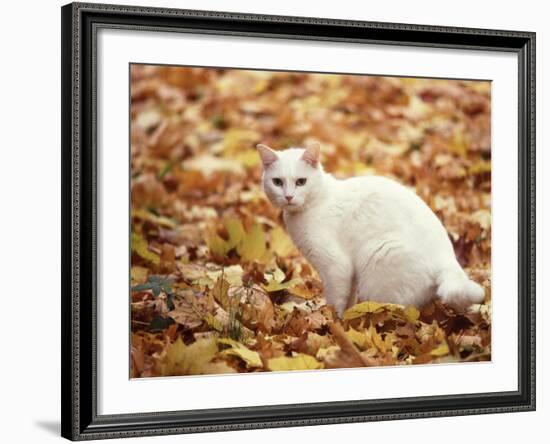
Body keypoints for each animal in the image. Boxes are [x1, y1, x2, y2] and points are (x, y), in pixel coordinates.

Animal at [256, 140, 486, 318]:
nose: (288, 197)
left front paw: (334, 325)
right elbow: (347, 299)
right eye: (277, 182)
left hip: (379, 264)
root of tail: (448, 258)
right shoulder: (348, 274)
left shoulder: (336, 267)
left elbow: (335, 301)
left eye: (301, 182)